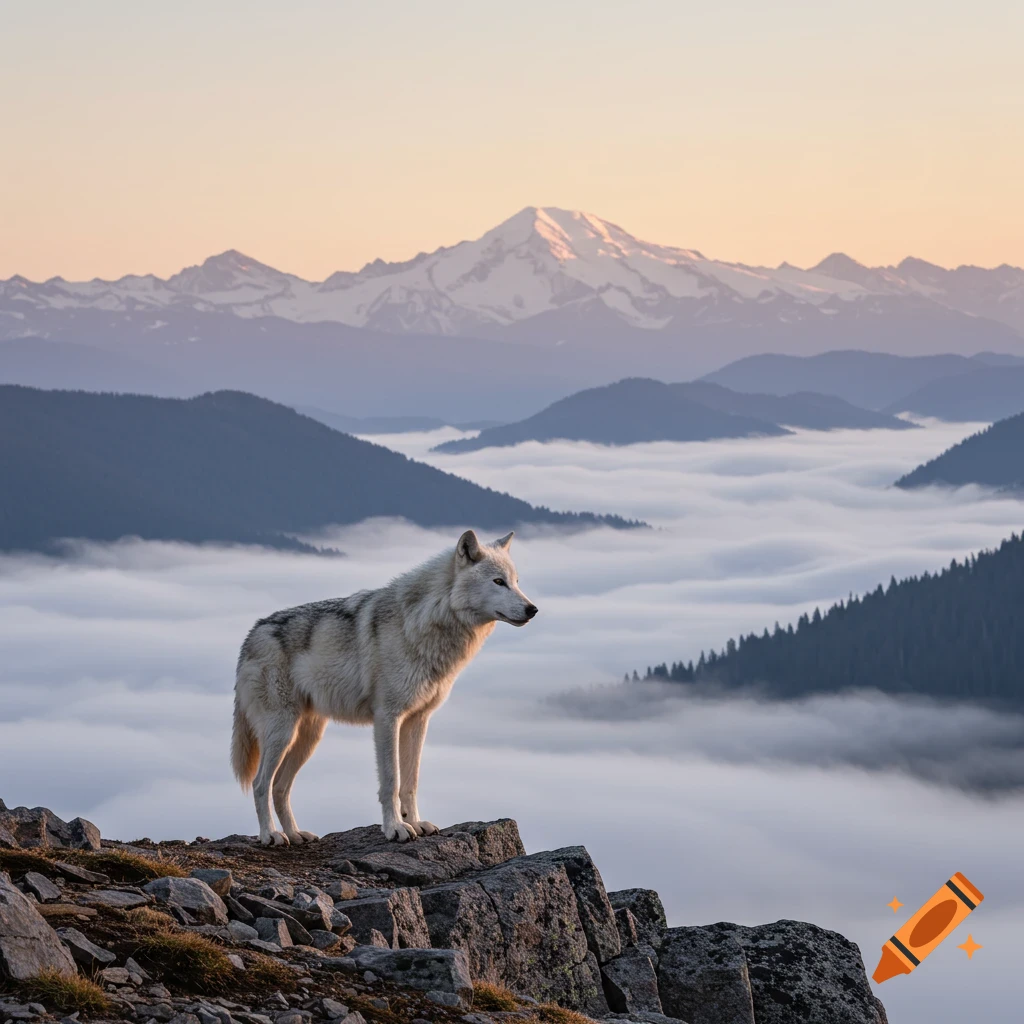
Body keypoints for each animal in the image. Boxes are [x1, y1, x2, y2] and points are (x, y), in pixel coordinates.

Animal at [231, 529, 537, 846]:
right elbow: (392, 781)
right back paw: (271, 835)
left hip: (308, 738)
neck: (424, 621)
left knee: (280, 786)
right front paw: (396, 829)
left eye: (516, 582)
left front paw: (415, 823)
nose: (533, 609)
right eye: (498, 582)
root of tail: (251, 635)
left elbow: (411, 782)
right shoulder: (387, 718)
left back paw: (295, 833)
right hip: (282, 733)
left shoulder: (418, 720)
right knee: (260, 783)